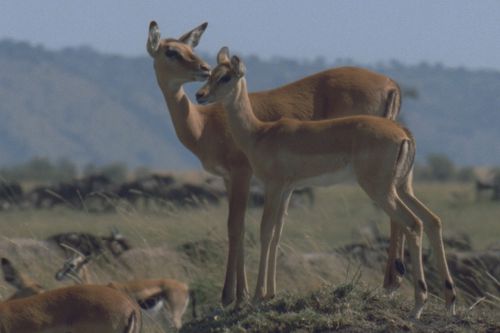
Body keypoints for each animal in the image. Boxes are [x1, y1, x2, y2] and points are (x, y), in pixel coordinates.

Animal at [146, 19, 406, 304]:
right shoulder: (231, 179)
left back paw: (392, 282)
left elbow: (236, 226)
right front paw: (246, 293)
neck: (204, 124)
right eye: (171, 51)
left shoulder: (242, 174)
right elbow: (248, 228)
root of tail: (391, 84)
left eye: (187, 48)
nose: (203, 71)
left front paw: (233, 295)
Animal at [194, 48, 458, 318]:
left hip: (381, 189)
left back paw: (418, 305)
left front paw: (257, 297)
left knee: (413, 224)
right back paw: (449, 301)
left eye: (226, 77)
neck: (259, 133)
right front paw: (269, 294)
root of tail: (404, 134)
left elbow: (265, 231)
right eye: (211, 73)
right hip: (402, 187)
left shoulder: (274, 186)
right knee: (432, 220)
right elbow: (277, 233)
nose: (200, 95)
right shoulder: (288, 189)